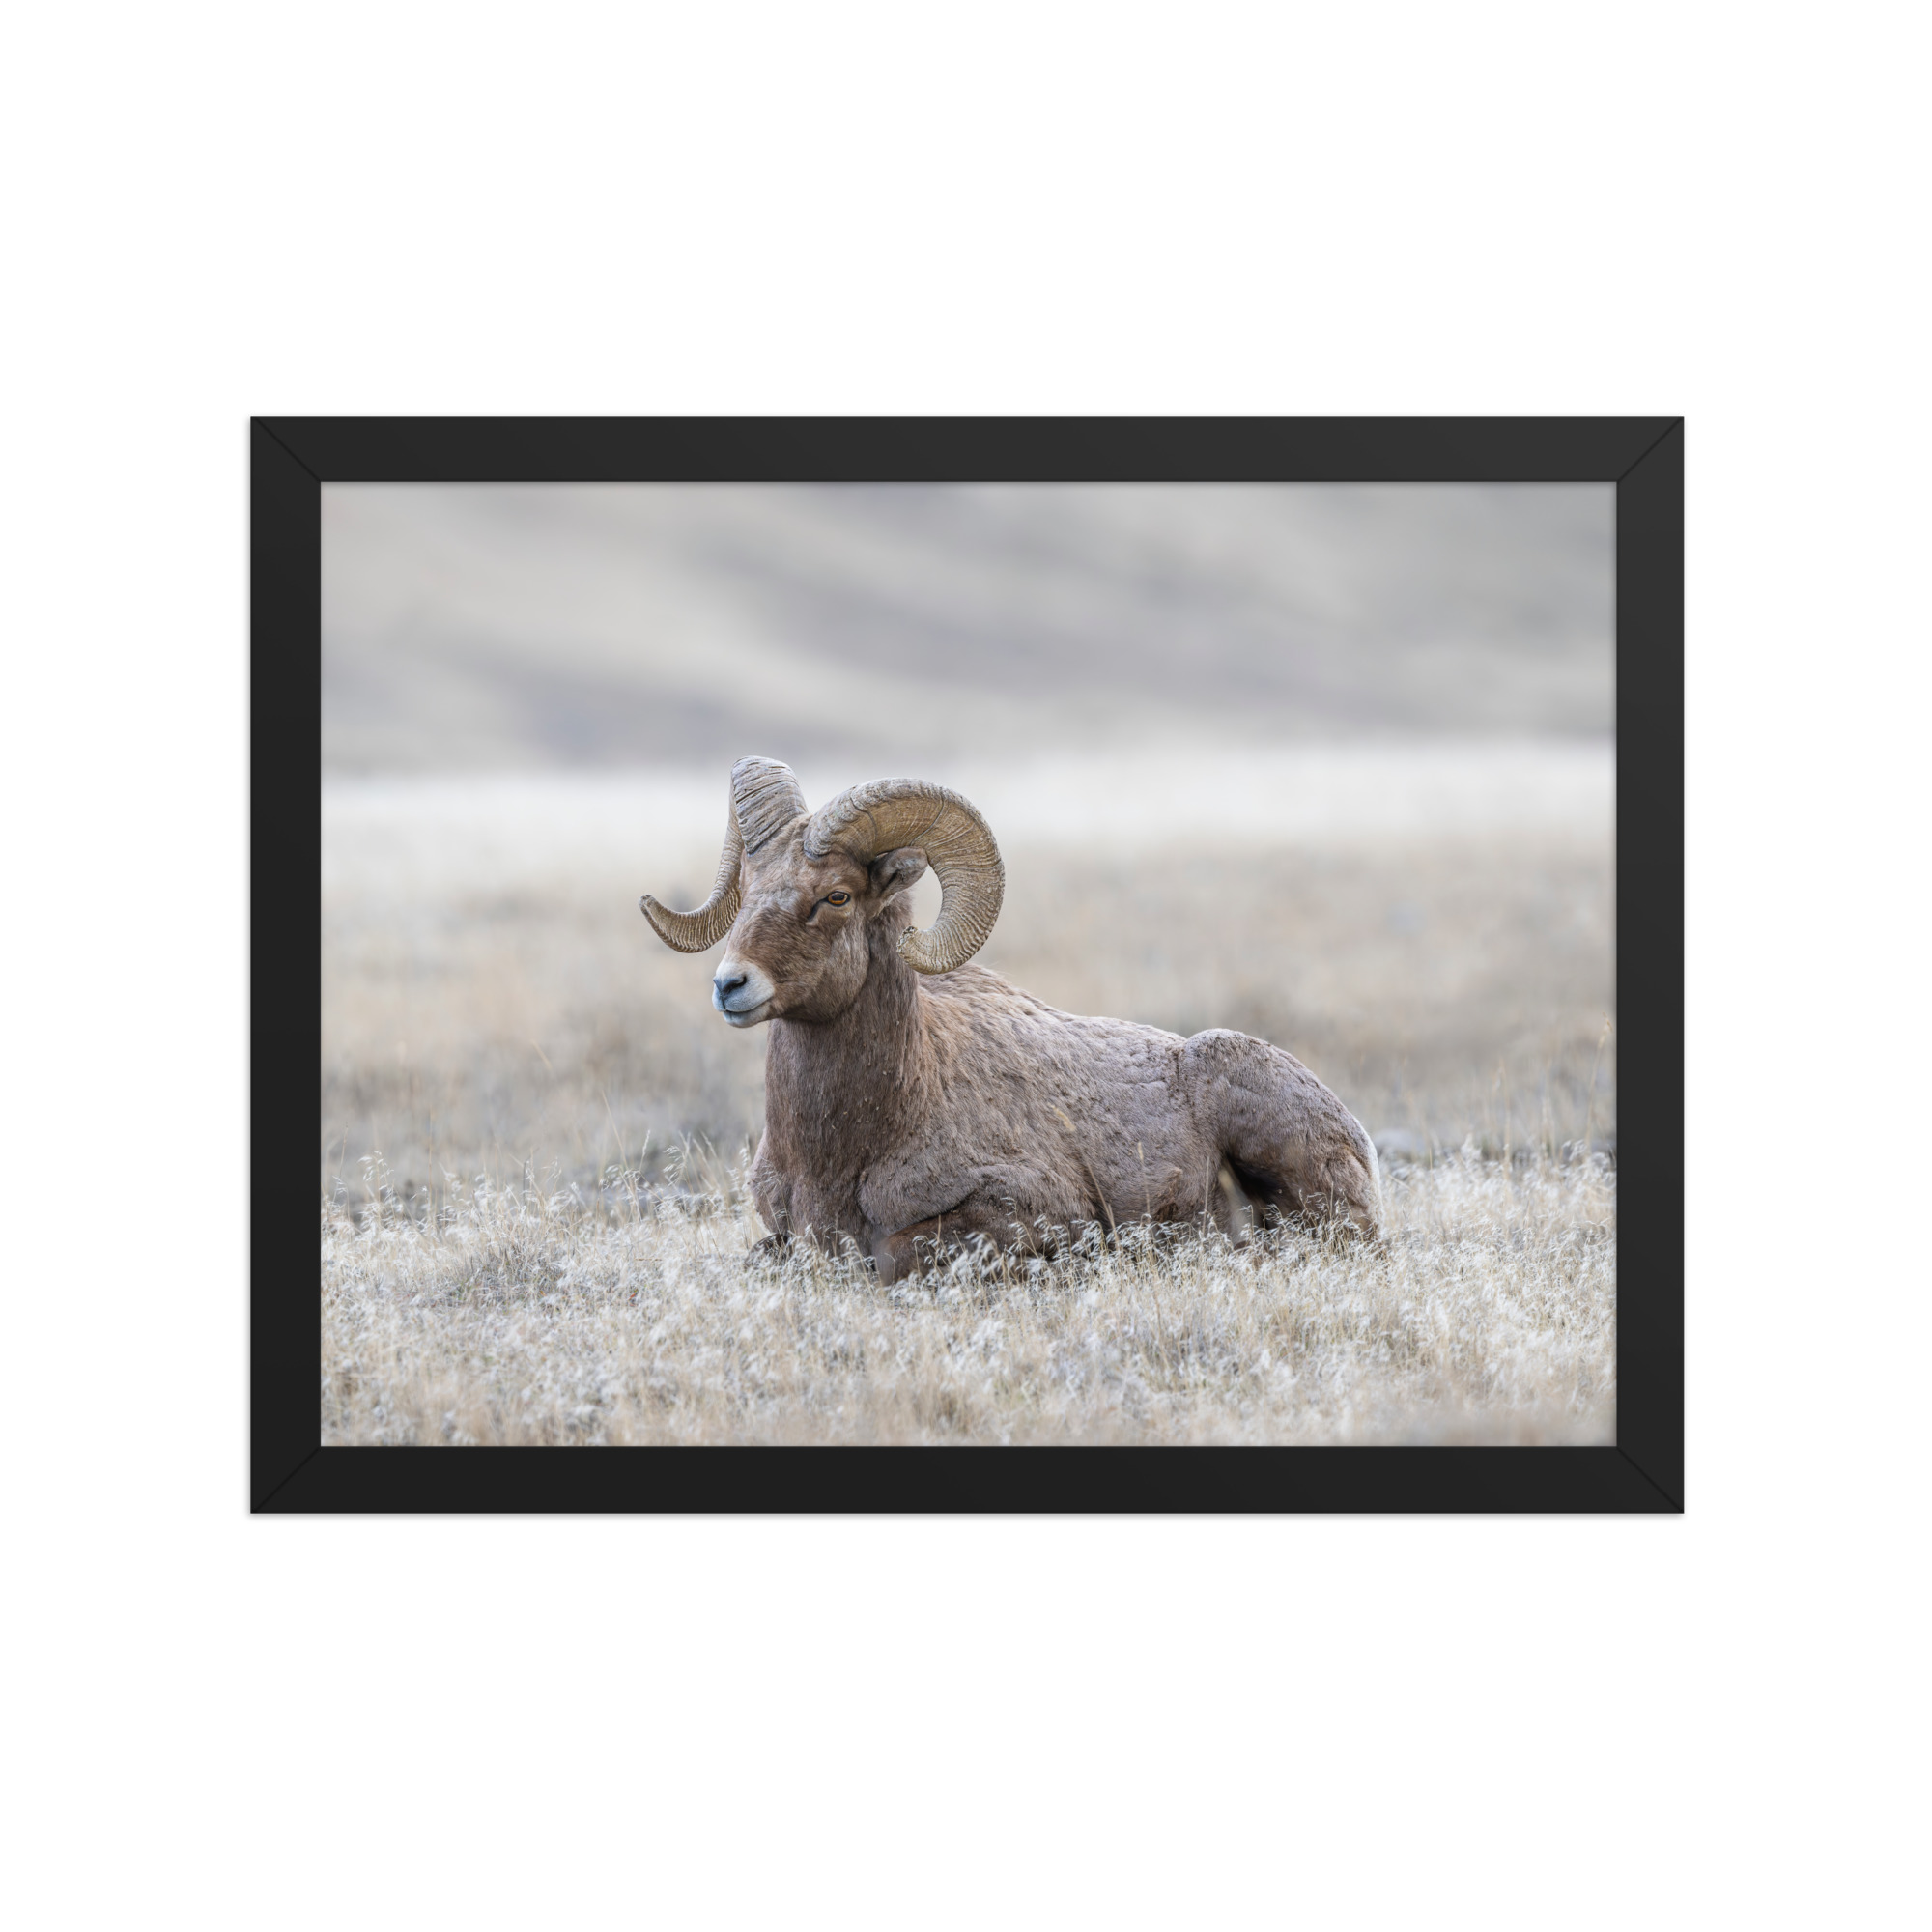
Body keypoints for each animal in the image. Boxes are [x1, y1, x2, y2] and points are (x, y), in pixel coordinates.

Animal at [641, 756, 1380, 1282]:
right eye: (747, 892)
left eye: (837, 897)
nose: (731, 985)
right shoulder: (781, 1232)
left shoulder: (1024, 1215)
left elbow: (895, 1255)